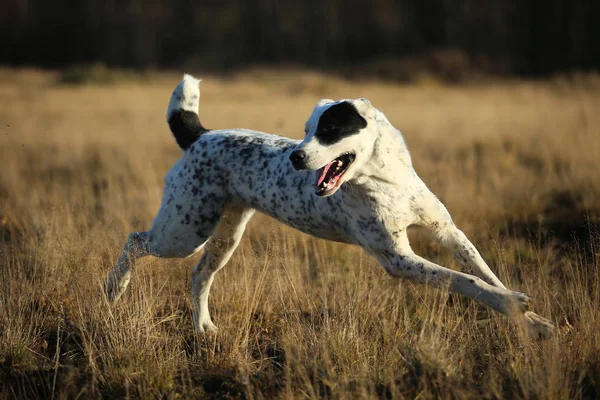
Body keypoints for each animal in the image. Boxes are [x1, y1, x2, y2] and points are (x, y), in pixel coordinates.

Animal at [105, 74, 556, 338]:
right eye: (305, 130)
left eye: (331, 128)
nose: (295, 157)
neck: (386, 181)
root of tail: (201, 135)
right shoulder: (398, 258)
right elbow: (465, 281)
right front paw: (516, 306)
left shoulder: (448, 231)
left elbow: (486, 274)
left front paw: (531, 322)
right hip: (184, 231)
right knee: (135, 240)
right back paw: (114, 289)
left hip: (223, 236)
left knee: (199, 276)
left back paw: (203, 328)